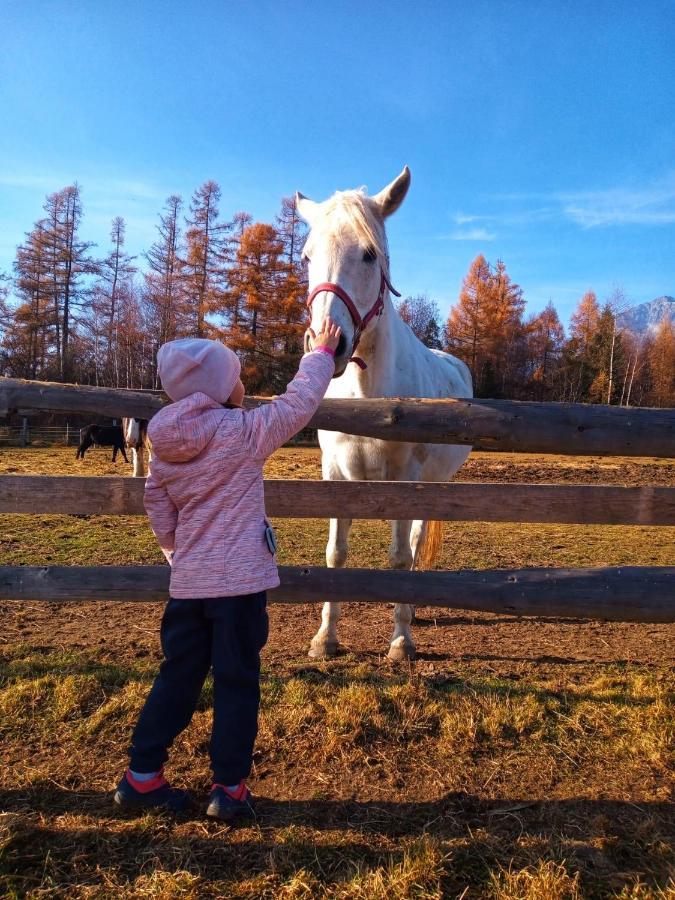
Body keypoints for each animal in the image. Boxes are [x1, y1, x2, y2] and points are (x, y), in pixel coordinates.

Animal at [298, 167, 472, 660]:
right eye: (307, 256)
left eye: (369, 254)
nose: (327, 340)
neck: (367, 402)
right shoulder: (335, 475)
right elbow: (336, 553)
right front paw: (325, 638)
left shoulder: (405, 481)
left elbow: (399, 557)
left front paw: (400, 641)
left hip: (432, 483)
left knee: (414, 542)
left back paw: (411, 612)